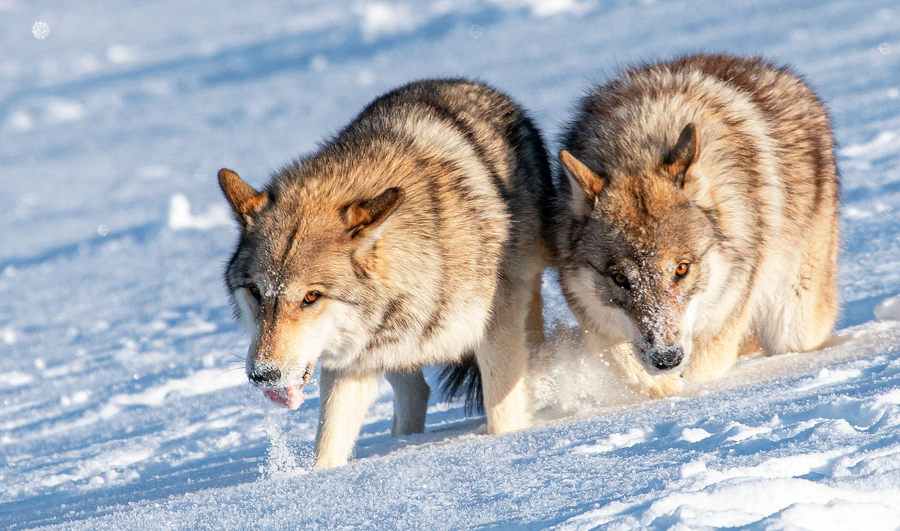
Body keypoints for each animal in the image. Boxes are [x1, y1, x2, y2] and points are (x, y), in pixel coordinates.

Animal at [221, 79, 552, 470]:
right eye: (256, 292)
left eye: (311, 297)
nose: (263, 375)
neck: (425, 256)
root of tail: (461, 82)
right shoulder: (350, 364)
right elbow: (328, 447)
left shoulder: (498, 332)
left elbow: (504, 419)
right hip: (385, 351)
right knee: (417, 392)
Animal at [552, 55, 840, 400]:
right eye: (620, 278)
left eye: (682, 269)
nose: (667, 358)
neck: (636, 147)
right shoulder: (593, 318)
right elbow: (624, 364)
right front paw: (661, 385)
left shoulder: (723, 322)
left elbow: (700, 370)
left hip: (795, 324)